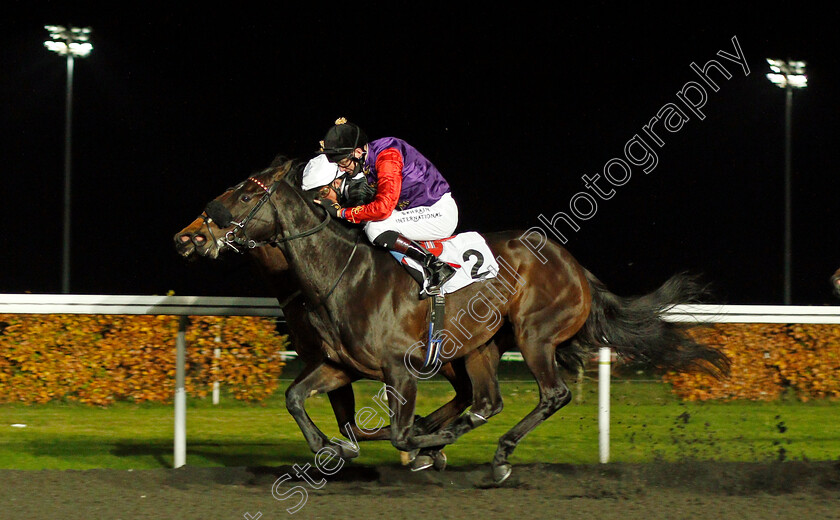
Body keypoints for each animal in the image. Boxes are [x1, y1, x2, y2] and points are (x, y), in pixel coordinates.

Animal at [182, 155, 728, 484]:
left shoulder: (400, 368)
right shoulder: (340, 364)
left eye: (245, 193)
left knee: (549, 395)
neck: (341, 276)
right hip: (482, 346)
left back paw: (496, 453)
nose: (191, 234)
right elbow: (297, 398)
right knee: (485, 400)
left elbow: (400, 431)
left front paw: (425, 446)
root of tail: (576, 267)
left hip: (533, 335)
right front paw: (335, 448)